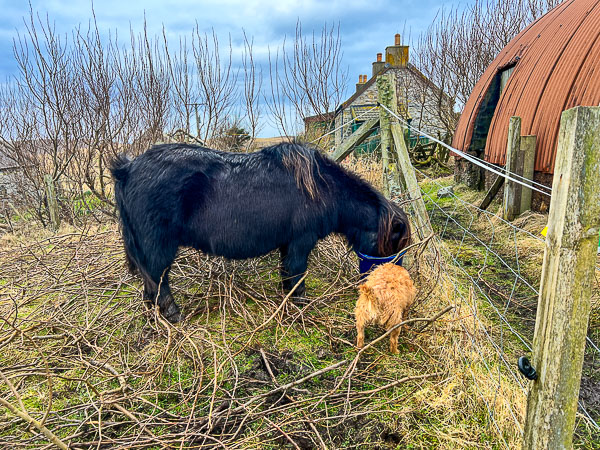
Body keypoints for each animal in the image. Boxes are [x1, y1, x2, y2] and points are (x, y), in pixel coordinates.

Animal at [110, 142, 410, 322]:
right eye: (396, 247)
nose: (390, 285)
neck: (323, 188)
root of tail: (127, 169)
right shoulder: (300, 242)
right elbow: (297, 275)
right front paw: (300, 306)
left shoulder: (288, 244)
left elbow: (287, 274)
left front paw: (288, 299)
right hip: (158, 247)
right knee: (158, 282)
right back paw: (173, 316)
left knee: (150, 286)